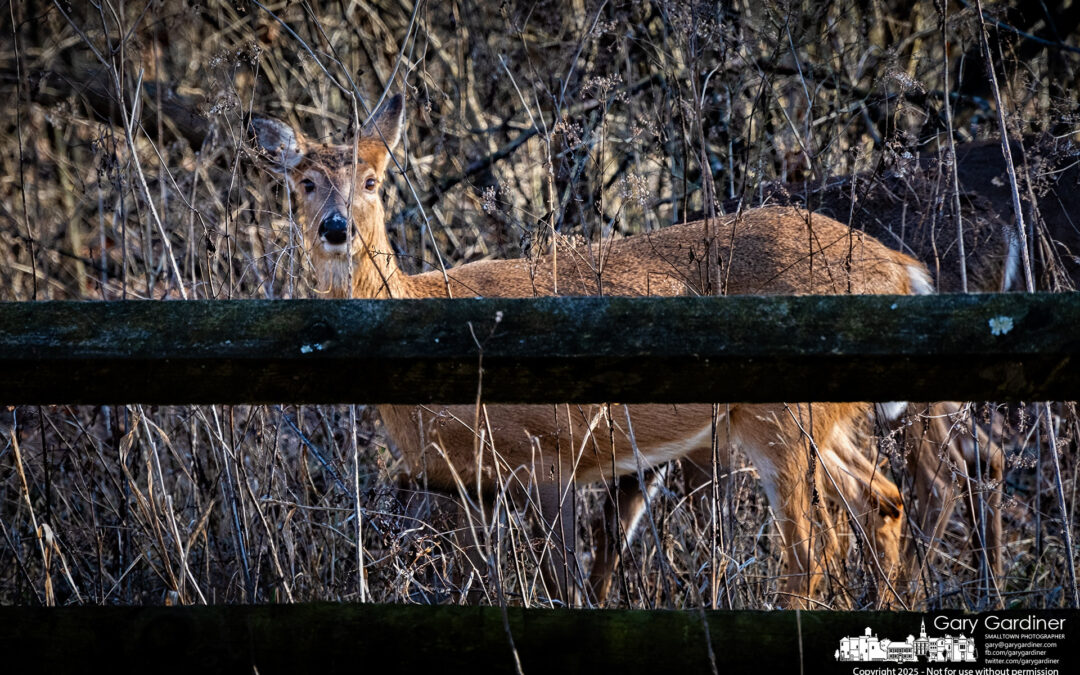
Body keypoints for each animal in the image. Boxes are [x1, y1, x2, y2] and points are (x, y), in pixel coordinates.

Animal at [250, 93, 928, 604]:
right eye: (304, 183)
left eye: (370, 180)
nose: (336, 227)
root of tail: (901, 268)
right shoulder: (463, 481)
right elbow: (487, 583)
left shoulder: (550, 451)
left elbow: (564, 583)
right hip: (817, 422)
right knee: (884, 502)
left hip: (780, 418)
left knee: (813, 550)